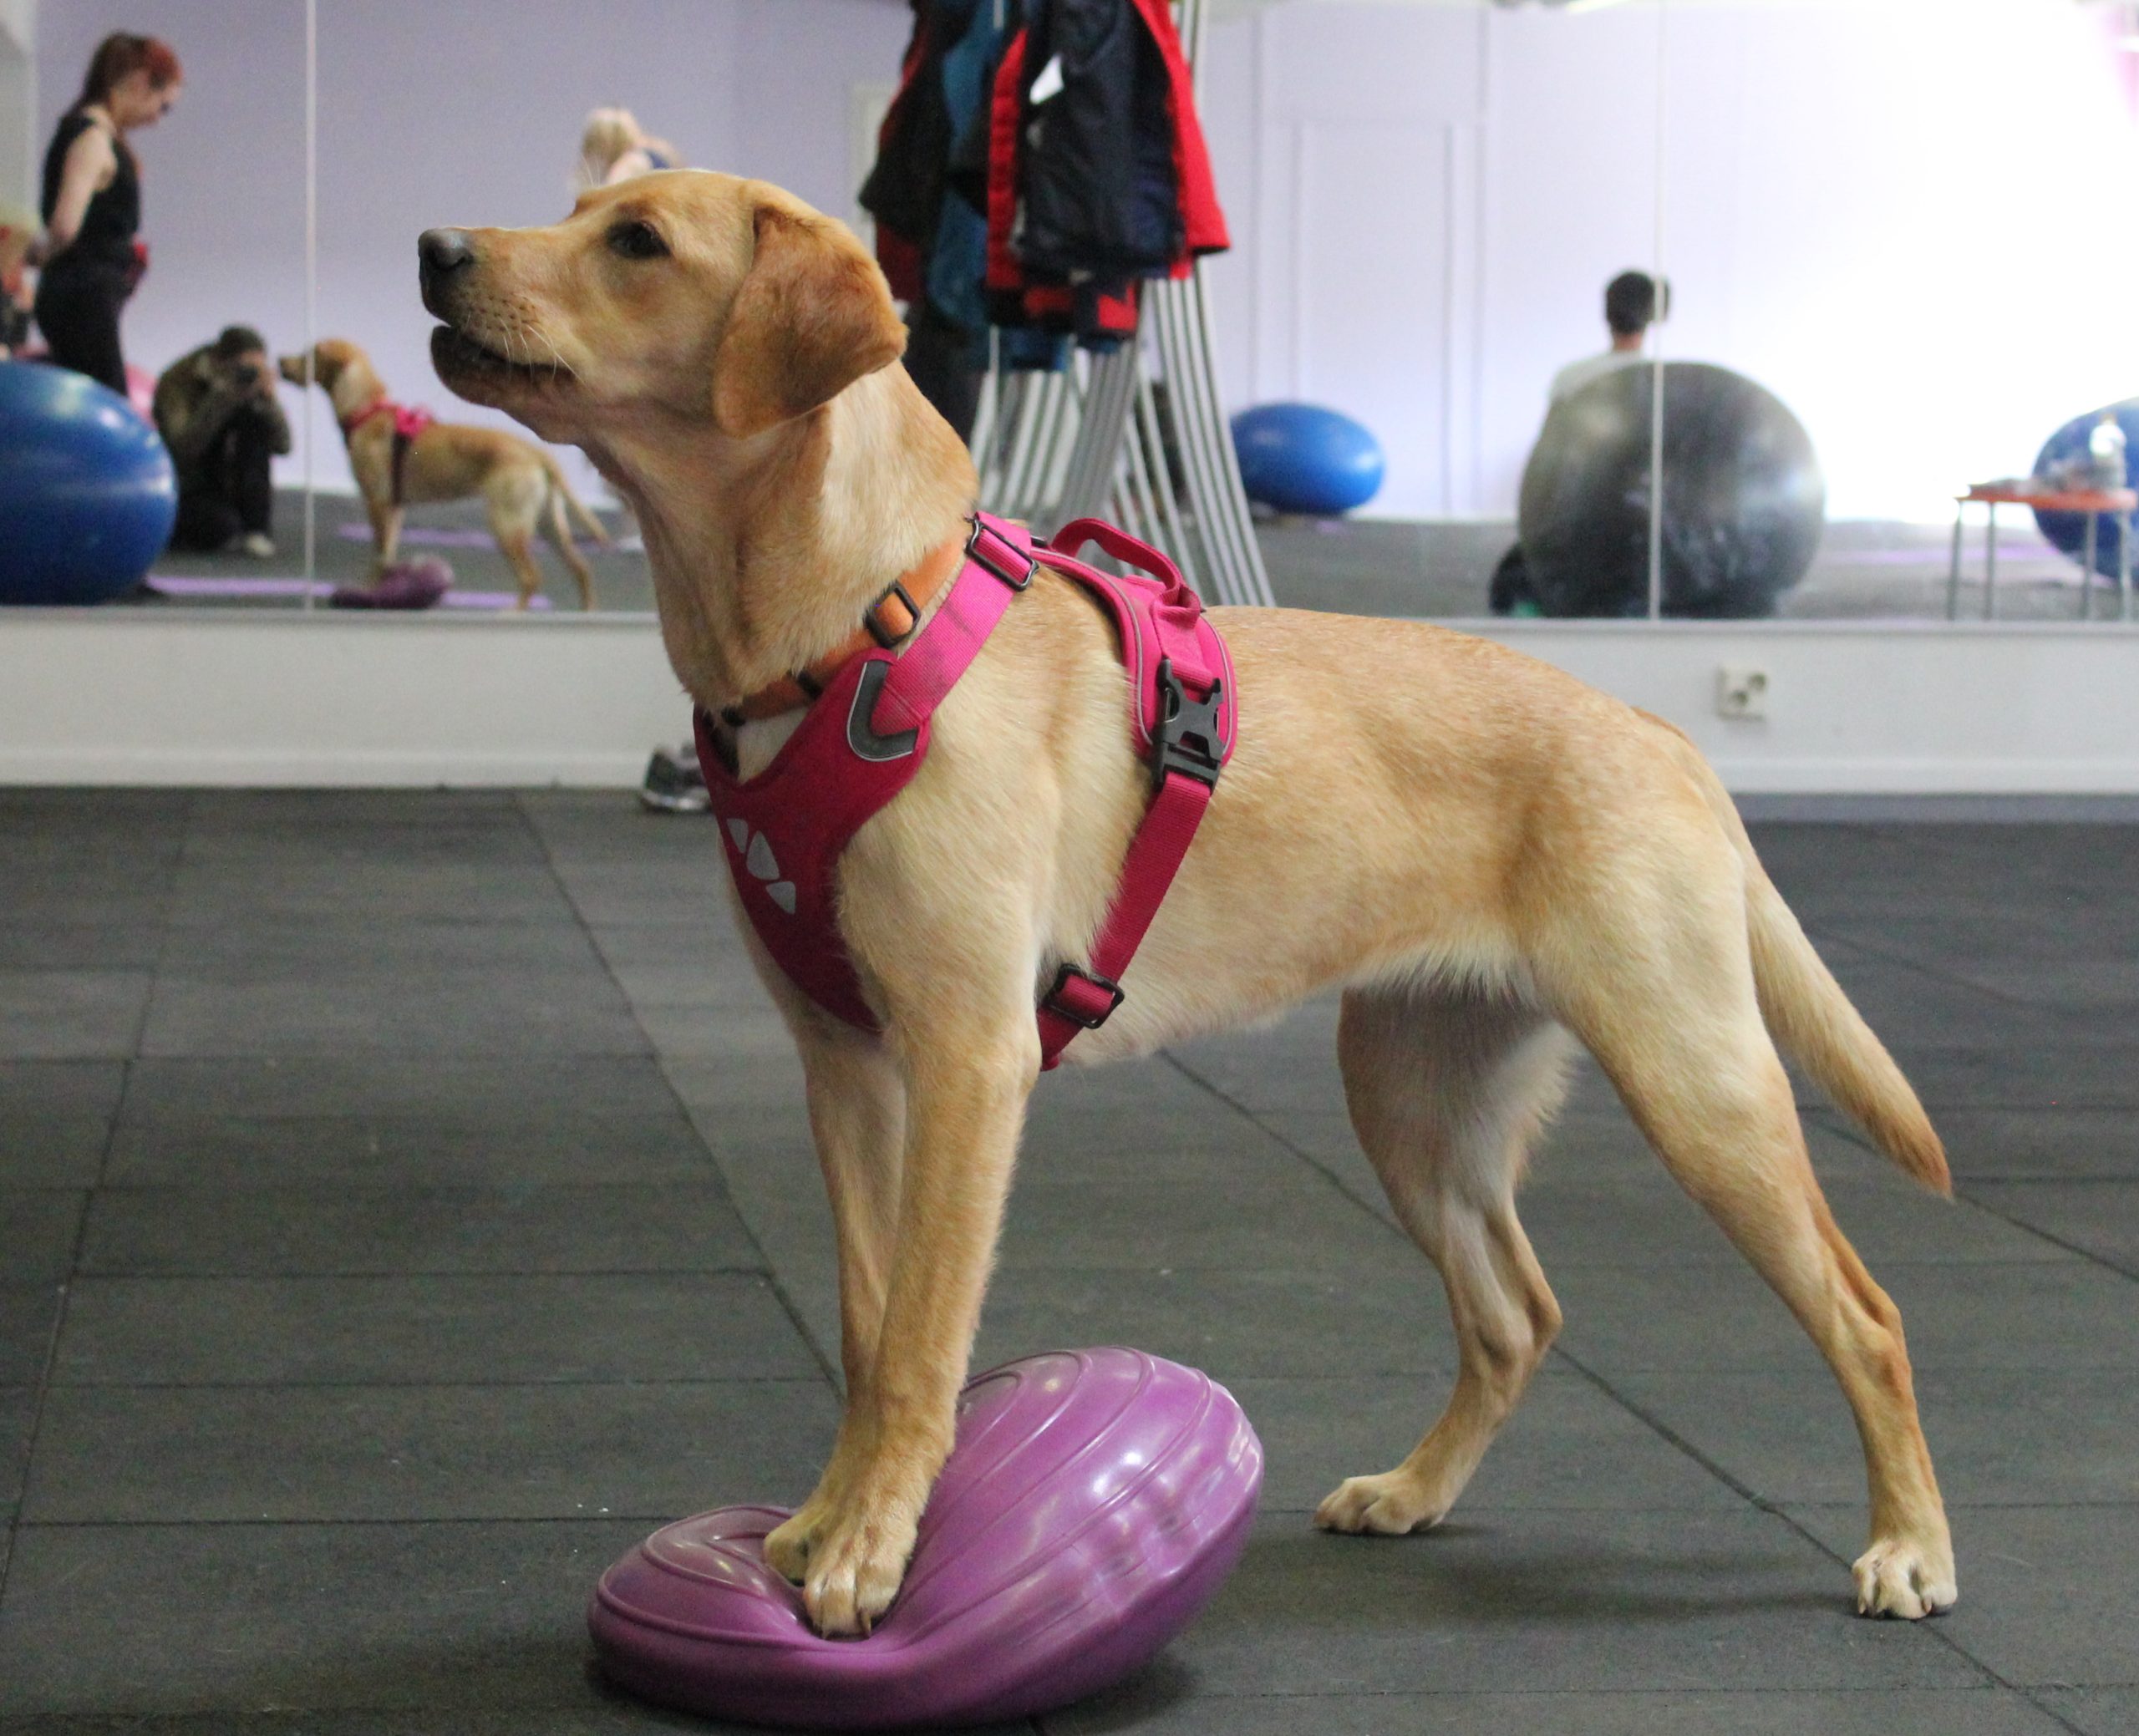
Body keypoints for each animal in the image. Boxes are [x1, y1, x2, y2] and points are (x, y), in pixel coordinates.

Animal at [280, 338, 607, 611]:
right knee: (582, 569)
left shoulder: (377, 504)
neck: (368, 411)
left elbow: (379, 556)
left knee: (531, 577)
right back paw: (587, 611)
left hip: (507, 524)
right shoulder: (395, 509)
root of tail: (538, 453)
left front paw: (368, 590)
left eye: (310, 354)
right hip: (546, 524)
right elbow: (388, 556)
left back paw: (511, 612)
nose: (281, 362)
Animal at [413, 173, 1959, 1642]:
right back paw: (1413, 1489)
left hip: (1699, 1081)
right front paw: (824, 1519)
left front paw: (870, 1550)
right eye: (574, 212)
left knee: (1870, 1313)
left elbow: (919, 1342)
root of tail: (1658, 729)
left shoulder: (971, 1059)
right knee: (1519, 1313)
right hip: (1415, 1098)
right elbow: (862, 1323)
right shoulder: (844, 1064)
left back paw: (1911, 1546)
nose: (433, 248)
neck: (863, 632)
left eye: (638, 241)